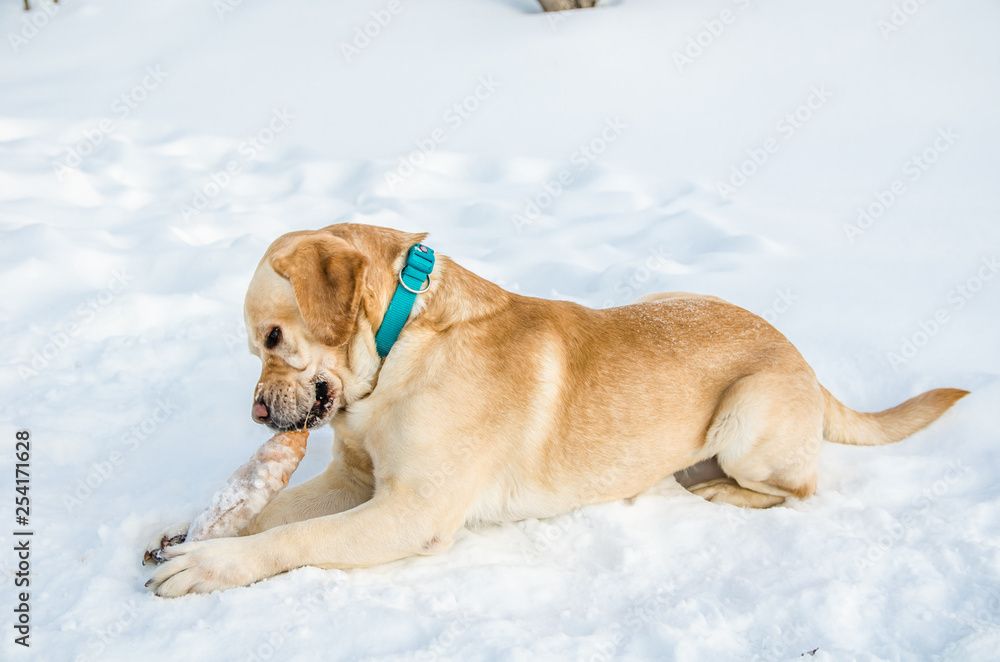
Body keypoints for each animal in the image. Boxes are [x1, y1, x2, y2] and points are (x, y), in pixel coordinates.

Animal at [145, 226, 964, 600]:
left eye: (272, 338)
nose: (257, 413)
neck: (404, 341)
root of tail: (806, 362)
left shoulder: (410, 512)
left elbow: (292, 539)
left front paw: (210, 564)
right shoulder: (354, 480)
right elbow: (270, 514)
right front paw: (185, 533)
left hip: (748, 416)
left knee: (796, 489)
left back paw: (718, 492)